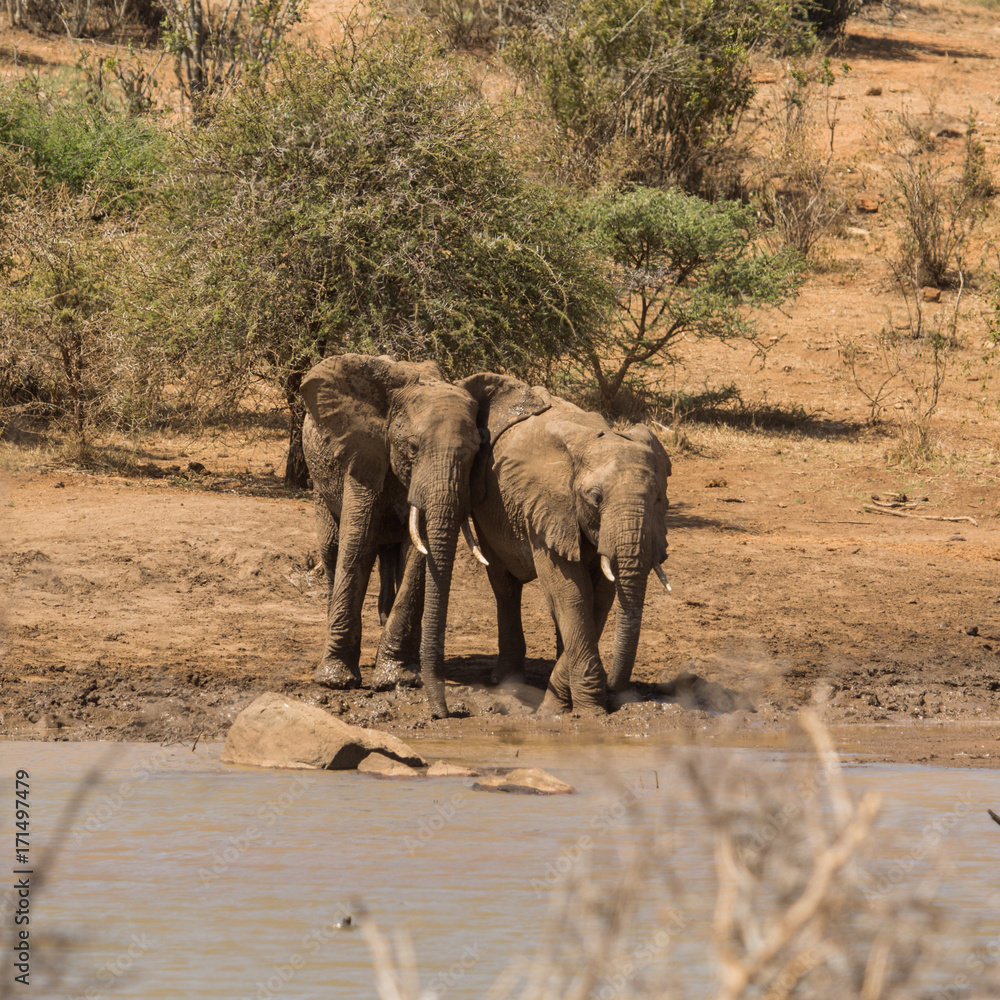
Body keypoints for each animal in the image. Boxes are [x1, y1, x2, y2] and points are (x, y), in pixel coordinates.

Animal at [300, 354, 484, 719]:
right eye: (412, 447)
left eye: (476, 452)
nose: (444, 713)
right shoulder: (365, 454)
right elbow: (357, 544)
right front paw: (335, 681)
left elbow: (417, 556)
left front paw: (396, 680)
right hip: (319, 479)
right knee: (332, 547)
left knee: (393, 554)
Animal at [457, 373, 672, 715]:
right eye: (596, 498)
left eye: (658, 499)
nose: (616, 691)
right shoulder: (547, 508)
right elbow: (571, 593)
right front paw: (582, 710)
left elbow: (599, 597)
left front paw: (562, 701)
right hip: (490, 511)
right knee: (504, 585)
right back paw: (506, 683)